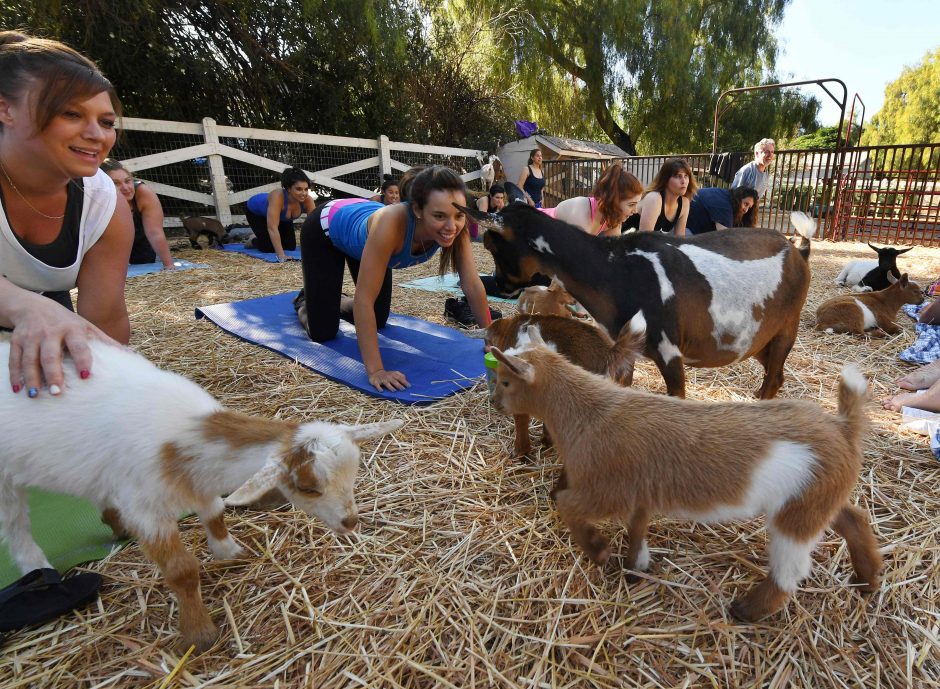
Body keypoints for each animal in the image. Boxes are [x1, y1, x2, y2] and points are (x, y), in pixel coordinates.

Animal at [468, 204, 816, 398]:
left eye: (492, 246)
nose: (500, 284)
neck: (615, 269)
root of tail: (798, 250)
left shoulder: (669, 349)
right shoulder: (624, 346)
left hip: (787, 326)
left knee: (774, 378)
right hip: (759, 339)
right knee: (776, 374)